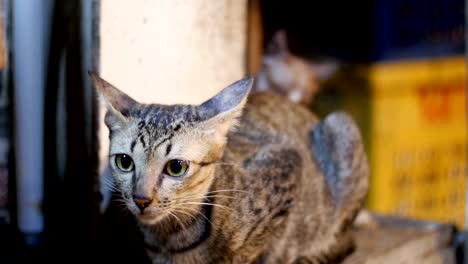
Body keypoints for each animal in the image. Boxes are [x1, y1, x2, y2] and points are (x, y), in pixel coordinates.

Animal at [90, 70, 370, 264]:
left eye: (176, 167)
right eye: (124, 162)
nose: (141, 199)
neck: (169, 238)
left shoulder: (288, 163)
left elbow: (249, 251)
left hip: (340, 125)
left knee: (346, 240)